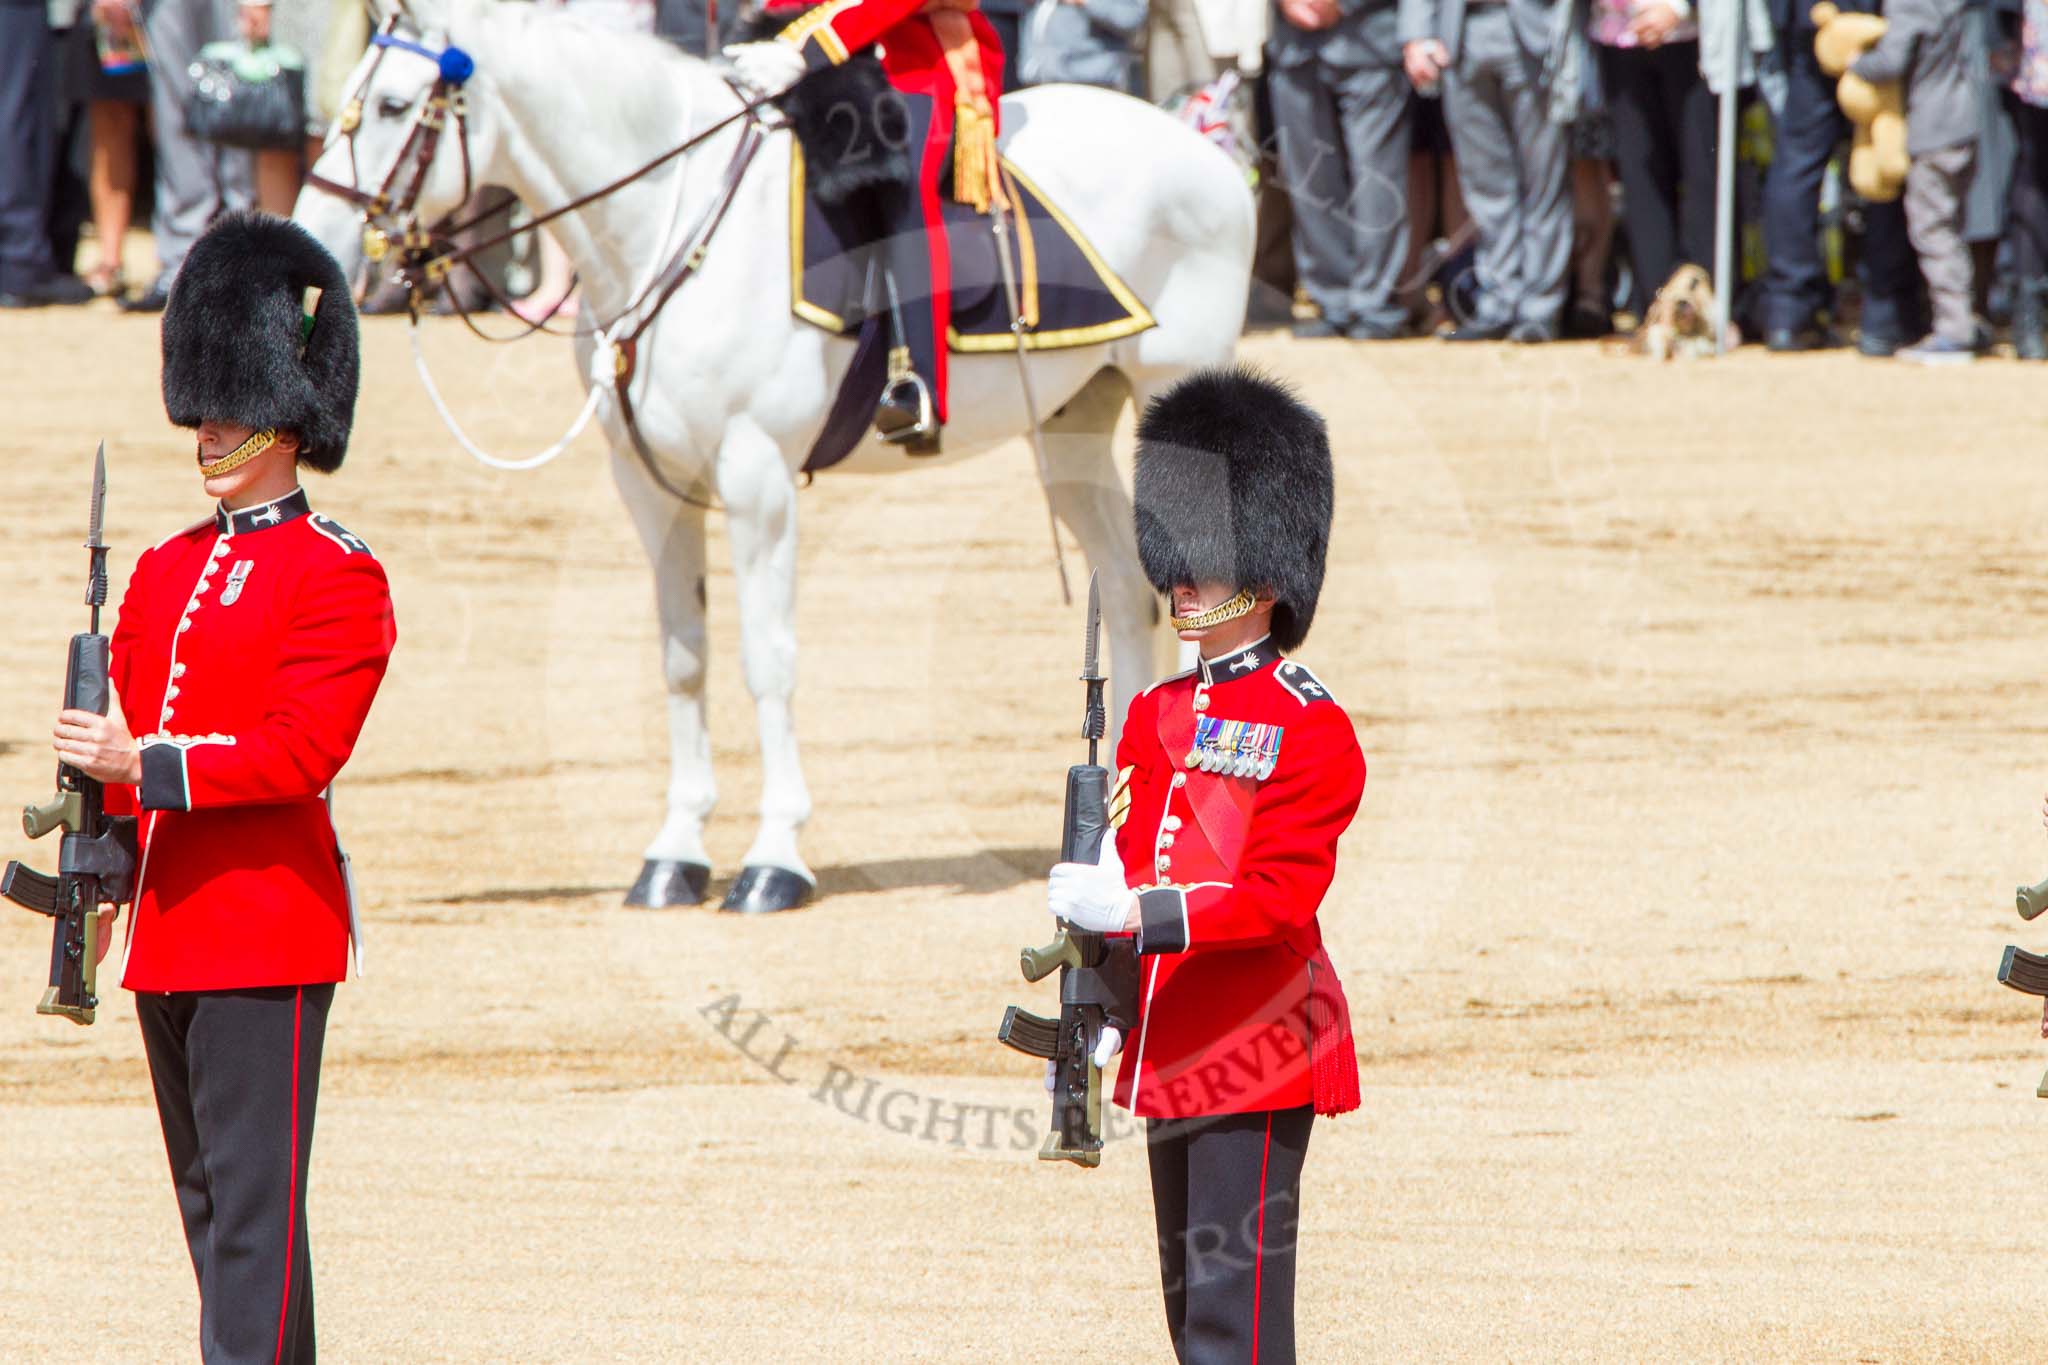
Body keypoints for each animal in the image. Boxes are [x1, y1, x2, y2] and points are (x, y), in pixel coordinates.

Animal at [288, 2, 1245, 916]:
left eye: (393, 106)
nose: (311, 237)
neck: (670, 225)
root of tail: (1202, 149)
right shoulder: (649, 485)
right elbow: (684, 657)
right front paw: (674, 853)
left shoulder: (757, 479)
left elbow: (766, 660)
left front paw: (773, 858)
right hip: (1069, 428)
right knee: (1128, 586)